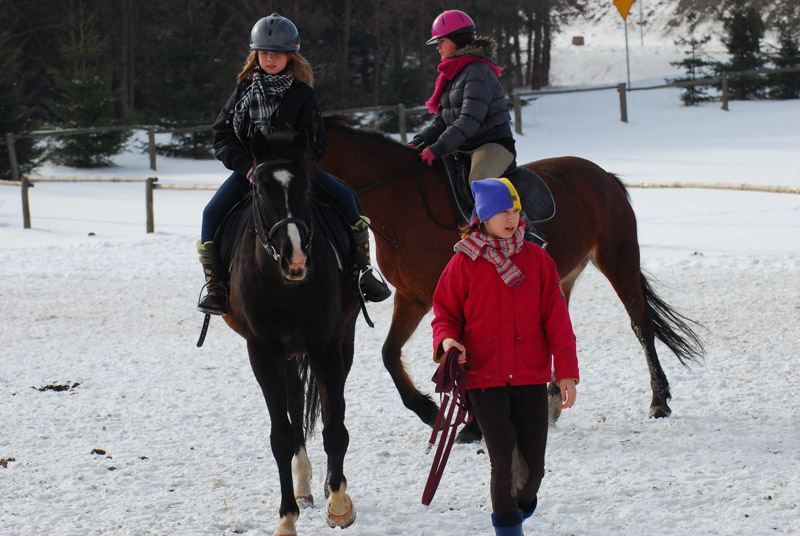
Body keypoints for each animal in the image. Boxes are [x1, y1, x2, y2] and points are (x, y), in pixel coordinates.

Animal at [225, 131, 362, 536]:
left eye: (307, 186)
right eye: (259, 190)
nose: (295, 256)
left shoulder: (326, 346)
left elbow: (335, 426)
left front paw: (339, 505)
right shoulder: (263, 352)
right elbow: (281, 436)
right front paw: (287, 518)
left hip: (341, 342)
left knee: (330, 407)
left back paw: (333, 487)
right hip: (287, 355)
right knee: (295, 399)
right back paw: (302, 487)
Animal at [322, 115, 704, 434]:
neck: (404, 201)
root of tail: (604, 175)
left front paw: (472, 424)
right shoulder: (413, 297)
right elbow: (390, 353)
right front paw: (431, 412)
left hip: (617, 259)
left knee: (641, 325)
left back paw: (658, 401)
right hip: (561, 277)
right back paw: (552, 402)